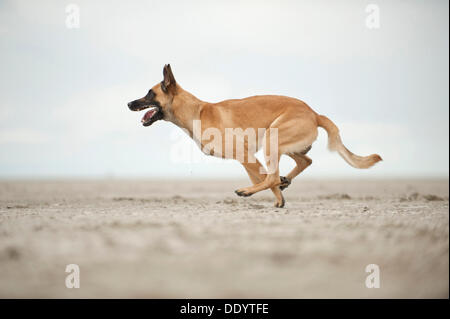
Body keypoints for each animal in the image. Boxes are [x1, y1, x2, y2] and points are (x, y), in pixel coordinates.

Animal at [128, 65, 382, 210]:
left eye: (149, 93)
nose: (129, 104)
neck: (196, 111)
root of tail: (314, 113)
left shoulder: (244, 154)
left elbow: (264, 178)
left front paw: (275, 198)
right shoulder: (246, 158)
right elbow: (261, 177)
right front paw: (278, 196)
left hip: (272, 139)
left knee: (275, 175)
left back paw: (249, 191)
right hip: (284, 144)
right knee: (304, 161)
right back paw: (284, 181)